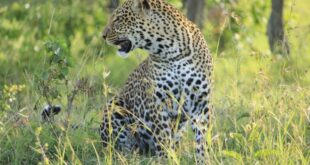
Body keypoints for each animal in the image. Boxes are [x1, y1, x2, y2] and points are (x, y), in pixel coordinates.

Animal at [101, 0, 213, 162]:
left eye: (118, 19)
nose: (102, 36)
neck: (171, 51)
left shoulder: (201, 103)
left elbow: (202, 140)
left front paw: (204, 159)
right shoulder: (158, 102)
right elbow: (163, 139)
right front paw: (167, 160)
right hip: (114, 106)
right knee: (121, 147)